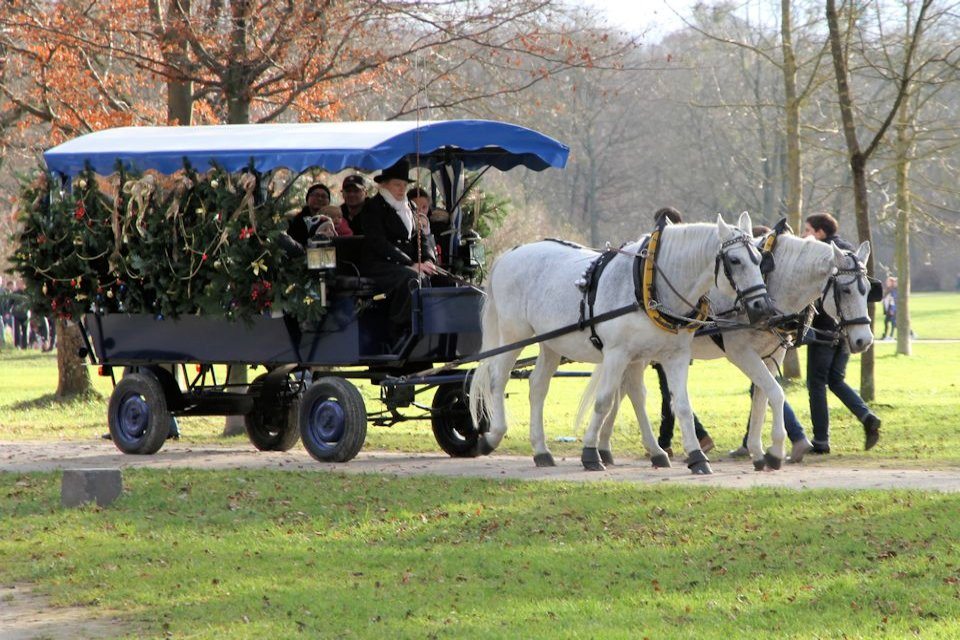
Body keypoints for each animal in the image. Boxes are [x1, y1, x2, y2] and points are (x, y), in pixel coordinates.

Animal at [468, 215, 776, 476]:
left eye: (760, 259)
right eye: (734, 260)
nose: (762, 307)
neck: (649, 283)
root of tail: (511, 252)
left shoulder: (672, 355)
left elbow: (680, 405)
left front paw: (695, 456)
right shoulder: (617, 354)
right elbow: (604, 401)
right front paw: (591, 453)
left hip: (550, 343)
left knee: (538, 387)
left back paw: (541, 450)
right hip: (514, 335)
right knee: (498, 379)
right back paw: (494, 434)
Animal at [584, 231, 876, 470]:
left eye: (868, 290)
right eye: (846, 290)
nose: (864, 340)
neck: (771, 283)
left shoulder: (771, 355)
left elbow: (761, 399)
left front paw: (759, 452)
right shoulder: (742, 354)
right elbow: (775, 393)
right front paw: (775, 451)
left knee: (624, 392)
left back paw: (608, 447)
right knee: (625, 392)